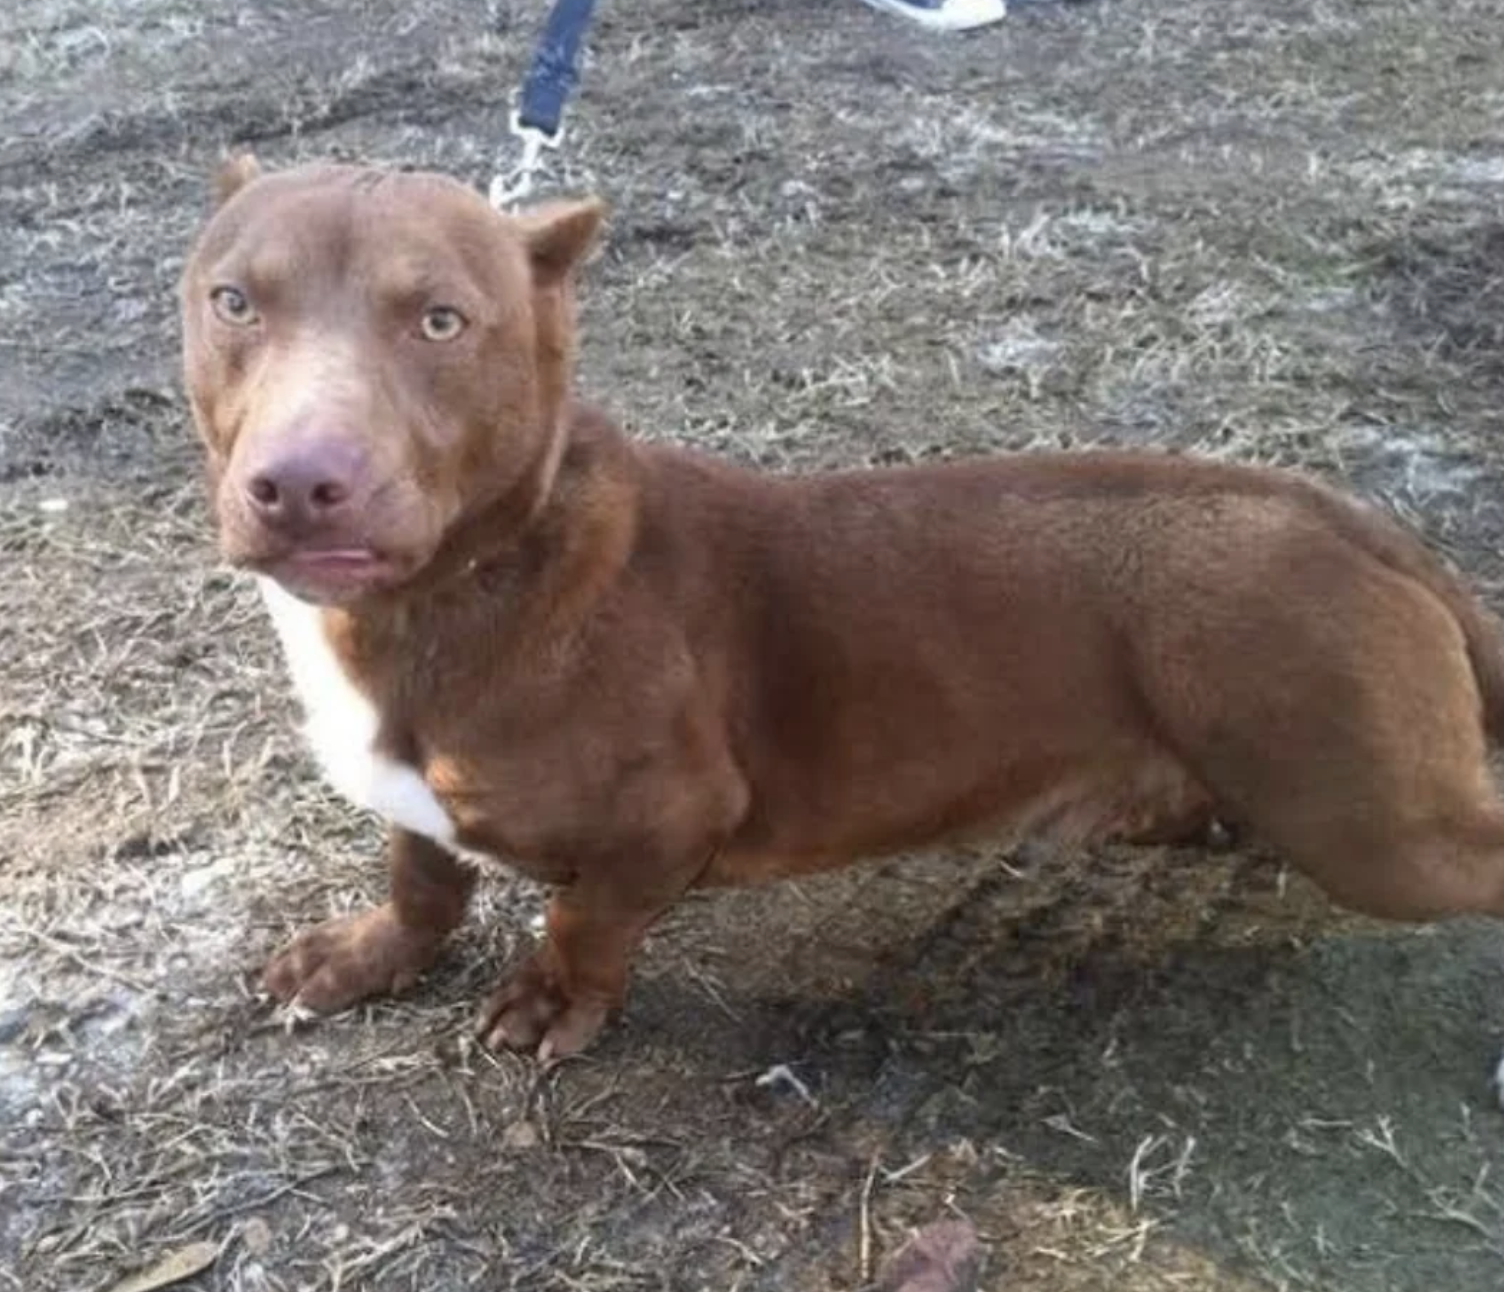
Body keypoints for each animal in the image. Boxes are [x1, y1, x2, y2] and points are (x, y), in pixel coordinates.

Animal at [181, 156, 1504, 1058]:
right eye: (234, 301)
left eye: (442, 319)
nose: (299, 484)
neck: (466, 582)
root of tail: (1365, 524)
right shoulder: (416, 801)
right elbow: (424, 876)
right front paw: (366, 953)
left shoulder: (669, 821)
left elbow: (581, 923)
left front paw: (555, 1002)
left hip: (1374, 820)